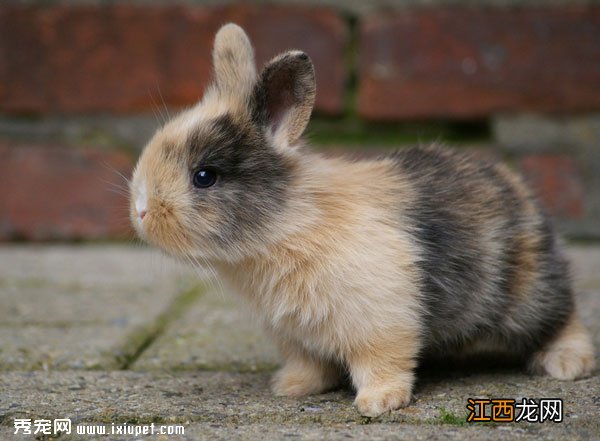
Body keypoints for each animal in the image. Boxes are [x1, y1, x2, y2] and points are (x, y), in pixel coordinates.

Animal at [129, 24, 592, 416]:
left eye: (204, 176)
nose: (141, 209)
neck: (288, 226)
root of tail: (516, 188)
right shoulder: (296, 336)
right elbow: (310, 364)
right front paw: (291, 387)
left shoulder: (381, 322)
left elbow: (383, 363)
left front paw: (378, 403)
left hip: (528, 294)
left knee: (562, 316)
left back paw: (568, 364)